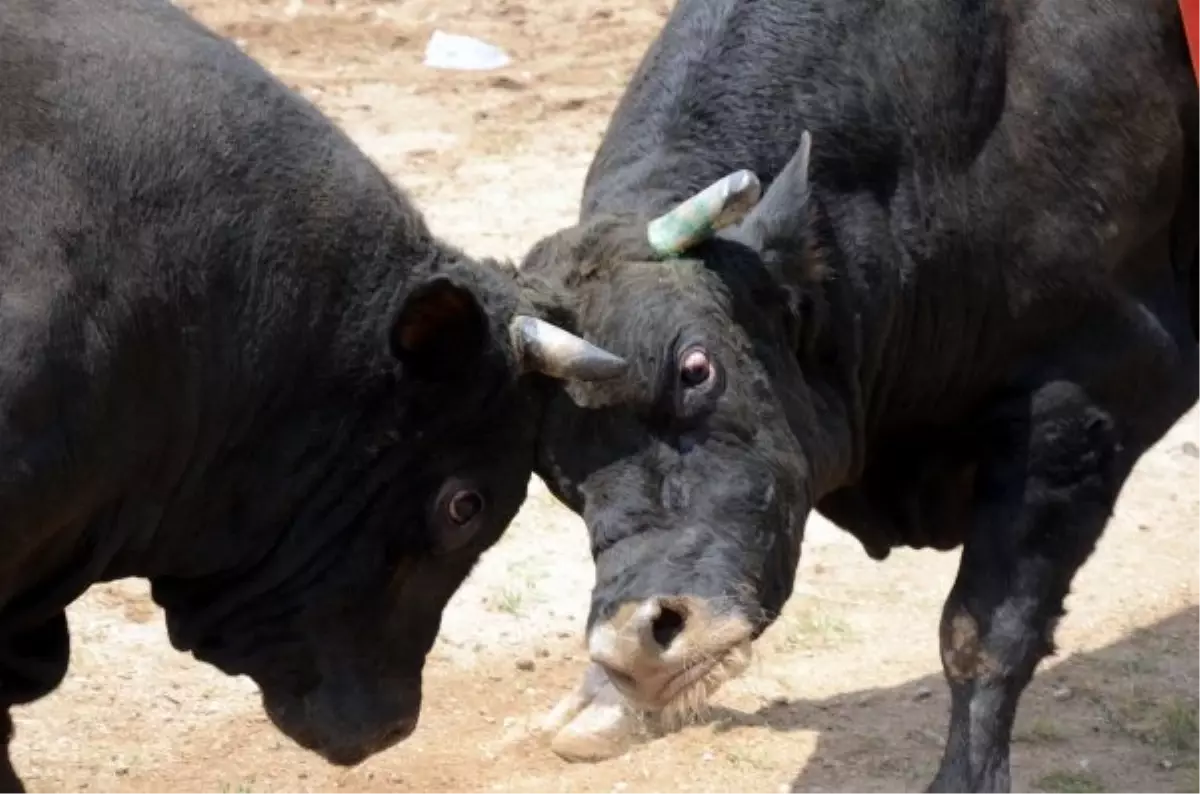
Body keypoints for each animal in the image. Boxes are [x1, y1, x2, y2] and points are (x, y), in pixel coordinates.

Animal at [525, 1, 1200, 794]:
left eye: (696, 367)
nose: (637, 643)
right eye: (550, 467)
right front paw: (602, 701)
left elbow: (984, 633)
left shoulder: (1091, 391)